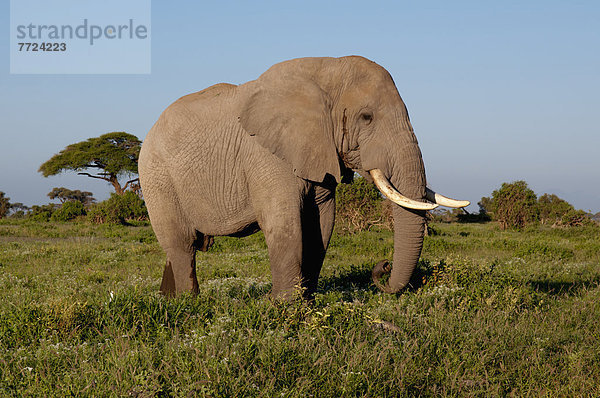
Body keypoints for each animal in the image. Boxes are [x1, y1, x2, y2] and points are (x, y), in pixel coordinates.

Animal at [141, 56, 468, 298]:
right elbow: (285, 224)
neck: (326, 70)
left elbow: (321, 223)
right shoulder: (266, 156)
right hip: (157, 178)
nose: (383, 267)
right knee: (181, 244)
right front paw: (282, 306)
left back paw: (167, 299)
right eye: (367, 117)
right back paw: (188, 303)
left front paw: (306, 302)